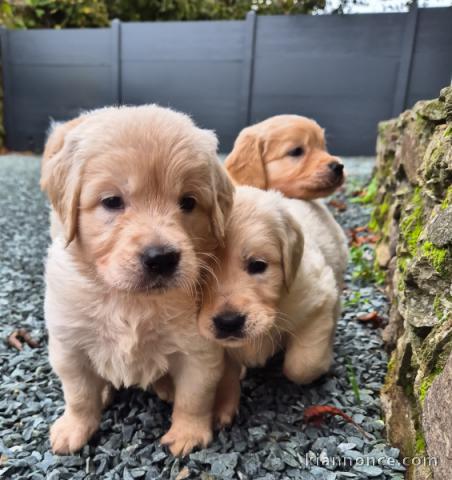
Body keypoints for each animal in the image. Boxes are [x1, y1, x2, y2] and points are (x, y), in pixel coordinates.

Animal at [39, 105, 233, 458]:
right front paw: (74, 428)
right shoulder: (68, 345)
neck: (130, 300)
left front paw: (188, 433)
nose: (161, 258)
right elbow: (79, 394)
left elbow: (194, 397)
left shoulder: (199, 351)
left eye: (188, 202)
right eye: (112, 201)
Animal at [199, 188, 350, 424]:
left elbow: (302, 366)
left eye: (258, 265)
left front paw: (323, 362)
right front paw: (221, 406)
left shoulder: (319, 297)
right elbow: (224, 373)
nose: (229, 322)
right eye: (201, 273)